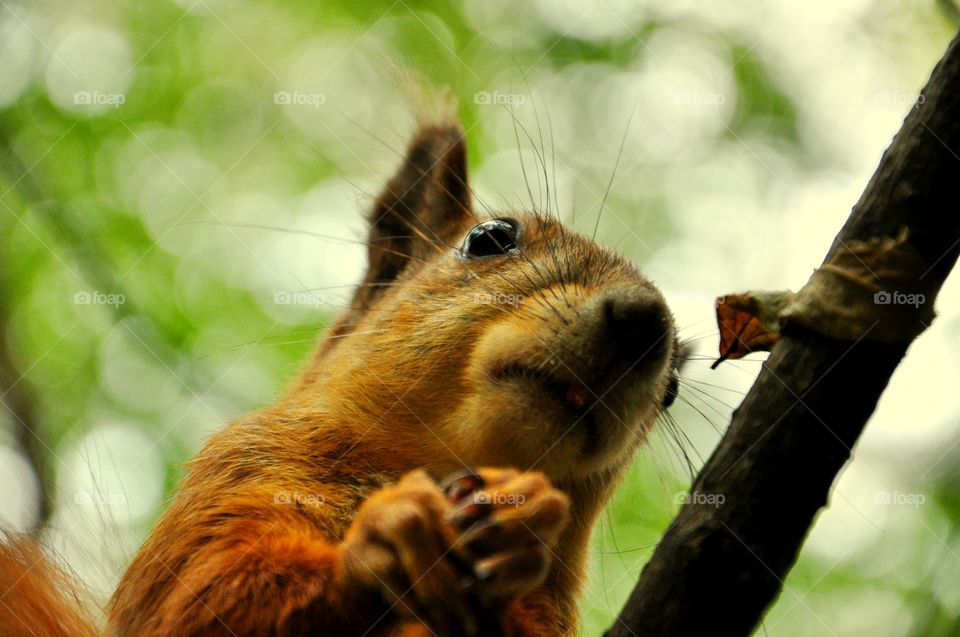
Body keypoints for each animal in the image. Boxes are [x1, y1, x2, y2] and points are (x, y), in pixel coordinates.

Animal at [0, 115, 682, 637]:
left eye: (672, 390)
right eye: (490, 238)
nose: (643, 320)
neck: (432, 464)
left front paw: (523, 525)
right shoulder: (237, 475)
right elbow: (198, 603)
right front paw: (382, 543)